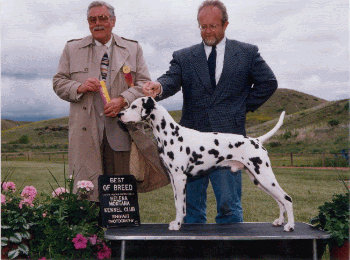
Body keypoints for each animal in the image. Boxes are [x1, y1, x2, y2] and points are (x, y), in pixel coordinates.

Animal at [118, 97, 296, 232]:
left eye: (134, 106)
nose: (119, 114)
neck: (170, 134)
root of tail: (257, 140)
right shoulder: (173, 179)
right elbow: (178, 203)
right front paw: (177, 222)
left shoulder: (180, 178)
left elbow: (180, 205)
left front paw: (177, 224)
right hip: (259, 180)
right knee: (280, 200)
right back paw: (280, 221)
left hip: (265, 176)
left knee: (286, 198)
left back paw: (290, 226)